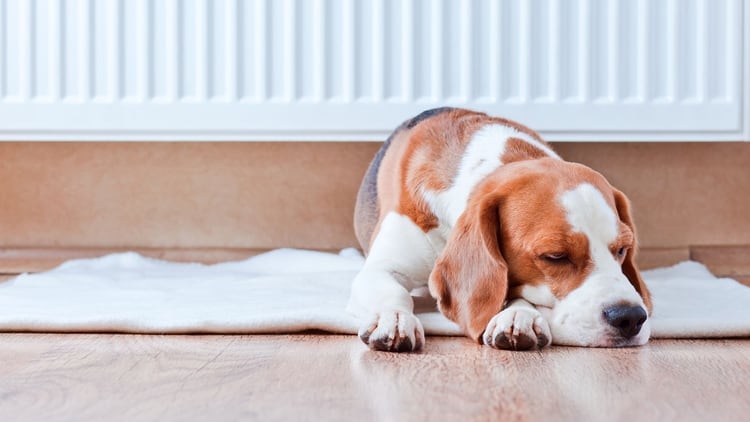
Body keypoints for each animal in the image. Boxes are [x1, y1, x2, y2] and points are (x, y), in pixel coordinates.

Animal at [348, 107, 652, 352]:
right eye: (555, 256)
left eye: (622, 249)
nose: (631, 317)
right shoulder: (382, 268)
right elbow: (393, 292)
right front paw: (394, 318)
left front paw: (519, 316)